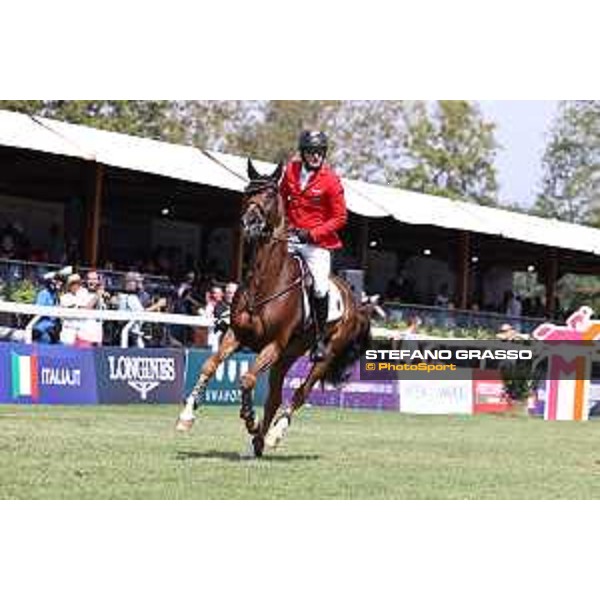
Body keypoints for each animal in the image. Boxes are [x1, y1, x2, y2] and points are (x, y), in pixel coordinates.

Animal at [176, 157, 370, 458]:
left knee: (300, 392)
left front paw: (249, 419)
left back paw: (273, 434)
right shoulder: (237, 335)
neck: (266, 281)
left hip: (323, 355)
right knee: (276, 395)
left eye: (269, 194)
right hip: (288, 355)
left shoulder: (273, 345)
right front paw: (187, 416)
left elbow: (247, 379)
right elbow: (210, 365)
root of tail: (353, 301)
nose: (250, 224)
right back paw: (257, 443)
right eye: (247, 191)